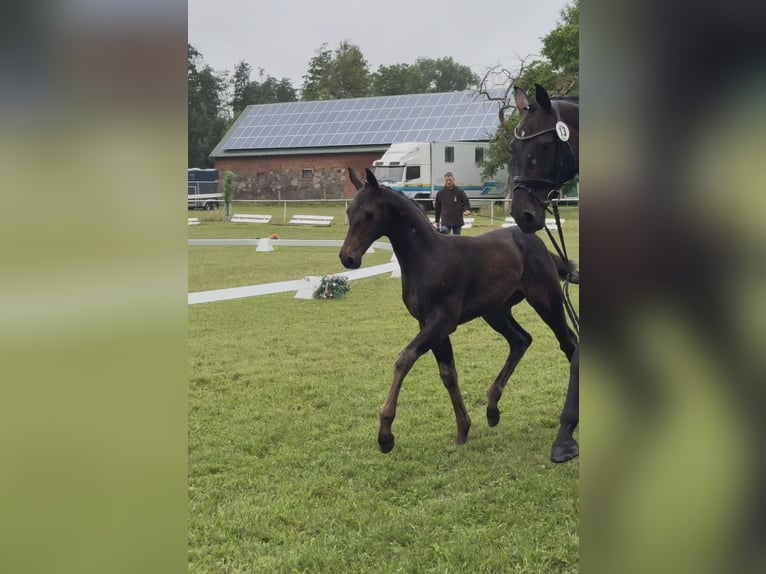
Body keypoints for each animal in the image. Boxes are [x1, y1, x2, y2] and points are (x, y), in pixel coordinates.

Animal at [339, 167, 578, 459]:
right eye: (350, 212)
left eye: (370, 214)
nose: (348, 258)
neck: (427, 258)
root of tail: (537, 242)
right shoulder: (429, 325)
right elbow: (448, 374)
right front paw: (463, 430)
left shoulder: (442, 322)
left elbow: (404, 358)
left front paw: (385, 435)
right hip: (496, 312)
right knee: (521, 340)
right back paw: (492, 409)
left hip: (547, 302)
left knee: (567, 343)